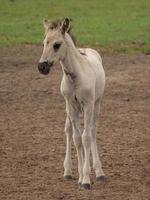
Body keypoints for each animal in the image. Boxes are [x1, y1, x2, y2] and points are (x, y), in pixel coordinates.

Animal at [38, 17, 106, 189]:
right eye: (44, 43)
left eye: (56, 44)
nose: (41, 67)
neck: (76, 76)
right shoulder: (72, 106)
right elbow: (77, 138)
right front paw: (81, 177)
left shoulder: (88, 105)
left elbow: (86, 137)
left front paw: (86, 179)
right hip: (68, 110)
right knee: (69, 130)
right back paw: (68, 171)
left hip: (96, 104)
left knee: (92, 131)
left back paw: (99, 172)